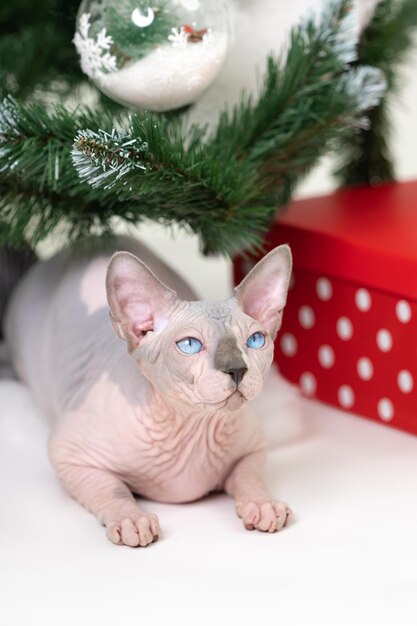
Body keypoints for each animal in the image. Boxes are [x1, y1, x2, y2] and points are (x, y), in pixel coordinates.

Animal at [6, 236, 292, 544]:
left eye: (256, 340)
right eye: (189, 344)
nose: (237, 369)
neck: (193, 427)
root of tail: (94, 238)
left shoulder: (253, 449)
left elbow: (248, 476)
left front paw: (262, 504)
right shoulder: (68, 453)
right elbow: (112, 489)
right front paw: (131, 518)